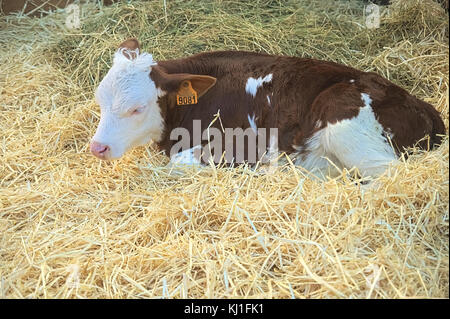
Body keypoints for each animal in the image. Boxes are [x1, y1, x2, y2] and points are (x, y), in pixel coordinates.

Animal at [89, 39, 444, 179]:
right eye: (100, 101)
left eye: (137, 108)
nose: (98, 147)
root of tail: (423, 105)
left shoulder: (244, 143)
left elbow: (181, 162)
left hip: (344, 122)